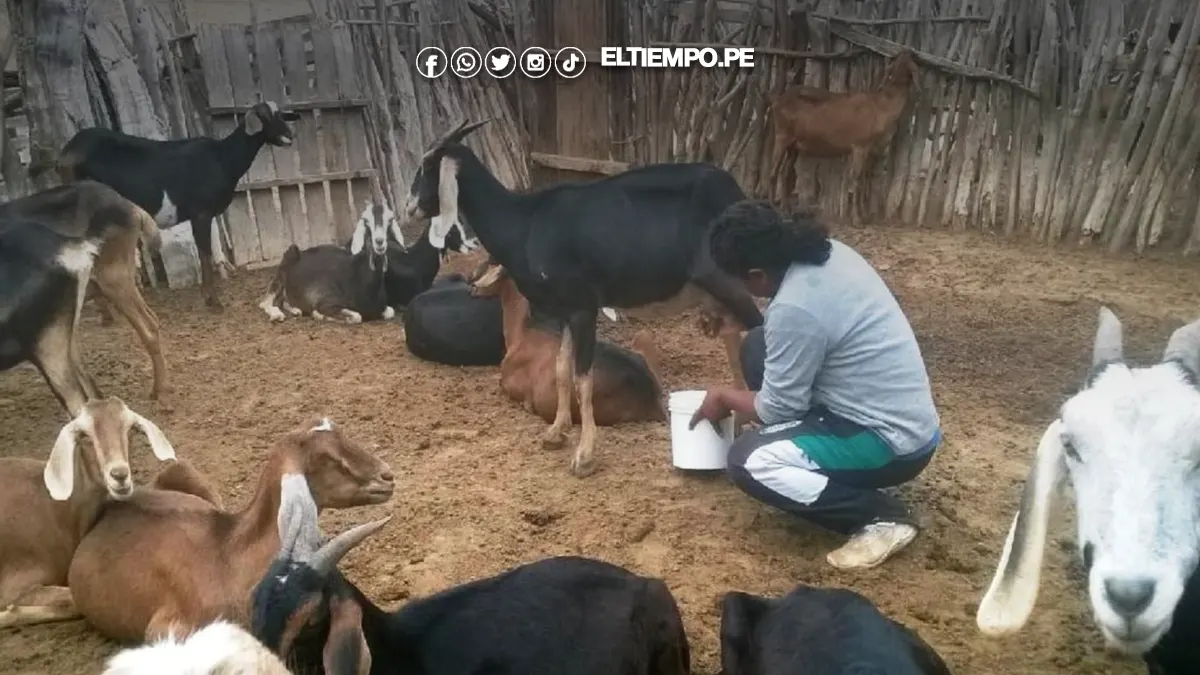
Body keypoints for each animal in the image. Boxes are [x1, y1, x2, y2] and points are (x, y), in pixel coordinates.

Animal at [0, 397, 176, 629]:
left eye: (130, 429)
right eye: (84, 435)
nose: (119, 475)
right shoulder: (16, 583)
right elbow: (71, 602)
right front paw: (9, 613)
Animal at [57, 101, 300, 312]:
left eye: (281, 115)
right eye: (264, 117)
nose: (289, 137)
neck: (222, 158)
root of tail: (67, 152)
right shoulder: (201, 213)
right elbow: (205, 253)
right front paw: (213, 302)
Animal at [65, 417, 394, 642]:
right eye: (326, 459)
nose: (387, 477)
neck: (229, 559)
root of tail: (110, 507)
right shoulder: (165, 627)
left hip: (182, 470)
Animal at [259, 203, 397, 324]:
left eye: (389, 221)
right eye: (366, 223)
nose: (379, 242)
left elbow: (391, 311)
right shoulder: (326, 302)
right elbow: (357, 316)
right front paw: (318, 315)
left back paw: (296, 310)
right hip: (287, 259)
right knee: (265, 302)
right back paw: (277, 315)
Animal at [769, 49, 920, 224]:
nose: (911, 52)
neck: (882, 107)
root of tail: (778, 100)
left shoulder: (869, 150)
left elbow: (864, 179)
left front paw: (864, 216)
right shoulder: (860, 146)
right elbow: (856, 179)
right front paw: (856, 219)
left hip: (794, 144)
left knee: (784, 173)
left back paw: (787, 210)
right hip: (782, 135)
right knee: (773, 171)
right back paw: (774, 206)